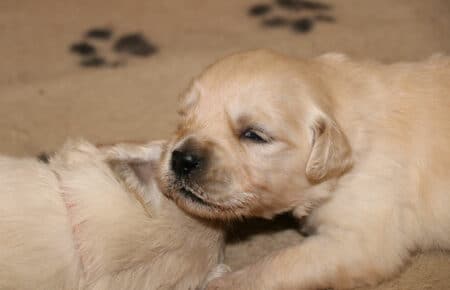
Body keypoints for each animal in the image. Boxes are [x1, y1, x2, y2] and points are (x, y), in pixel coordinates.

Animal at [159, 50, 450, 290]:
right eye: (184, 118)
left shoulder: (361, 238)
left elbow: (278, 263)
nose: (182, 159)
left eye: (254, 135)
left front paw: (223, 283)